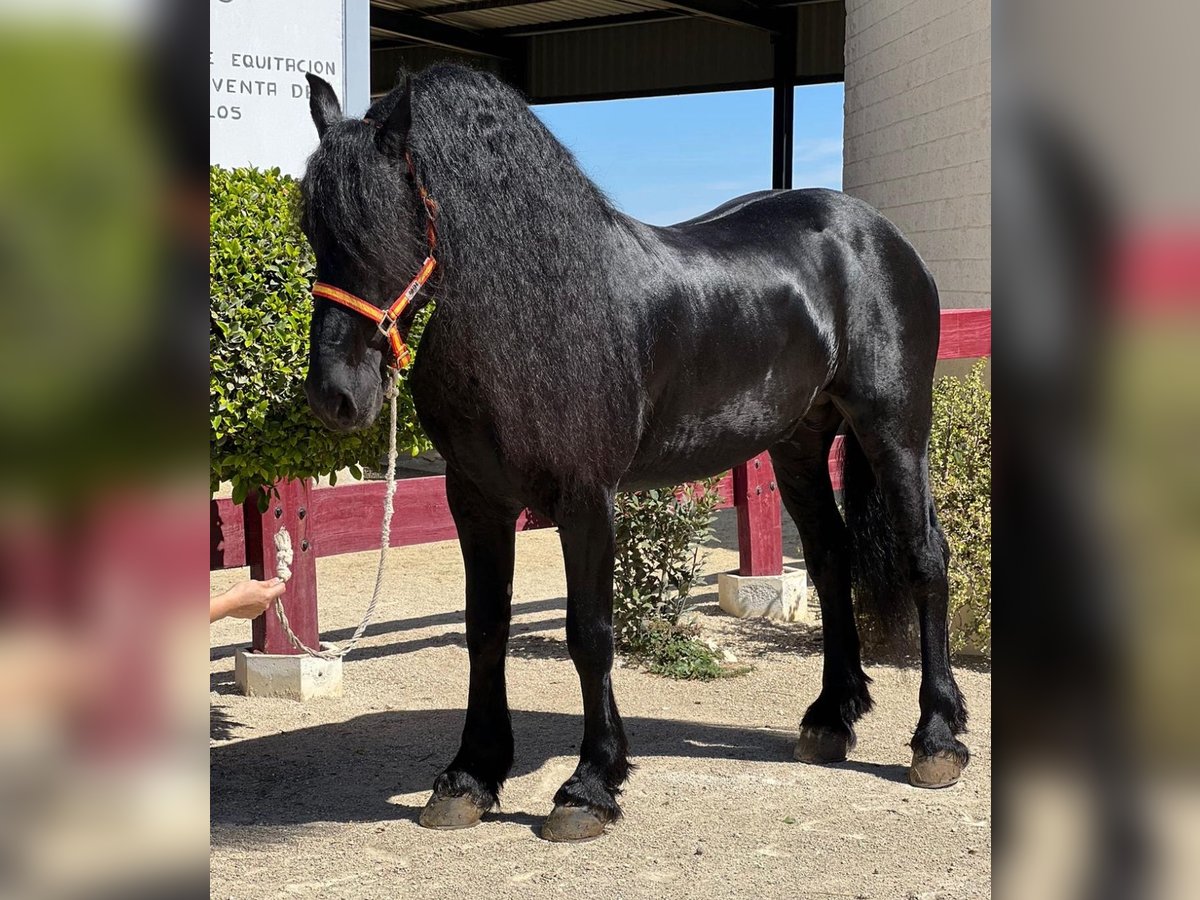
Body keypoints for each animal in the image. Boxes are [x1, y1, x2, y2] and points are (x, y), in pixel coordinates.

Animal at [297, 65, 964, 844]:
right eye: (312, 228)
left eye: (388, 226)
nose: (336, 395)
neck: (534, 313)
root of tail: (877, 233)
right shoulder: (476, 498)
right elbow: (485, 627)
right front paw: (469, 777)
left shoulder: (588, 498)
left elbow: (589, 633)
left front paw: (589, 785)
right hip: (799, 442)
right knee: (831, 559)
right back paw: (831, 719)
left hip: (894, 428)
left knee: (924, 557)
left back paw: (937, 739)